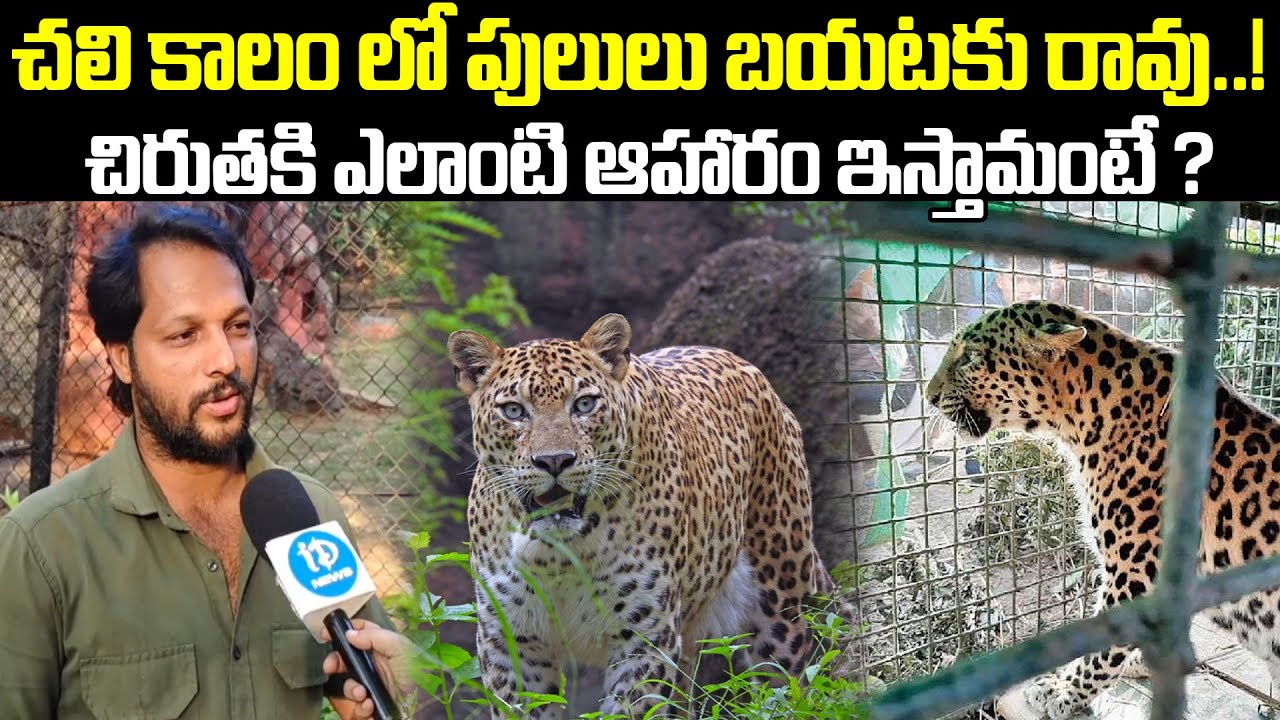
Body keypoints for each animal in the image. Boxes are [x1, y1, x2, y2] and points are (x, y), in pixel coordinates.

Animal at [447, 313, 854, 719]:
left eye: (584, 404)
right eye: (514, 410)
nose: (555, 460)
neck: (559, 556)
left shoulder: (644, 639)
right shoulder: (512, 644)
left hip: (779, 604)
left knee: (787, 687)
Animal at [925, 298, 1280, 719]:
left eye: (970, 357)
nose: (928, 395)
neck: (1083, 418)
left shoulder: (1134, 572)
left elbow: (1102, 650)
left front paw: (1066, 693)